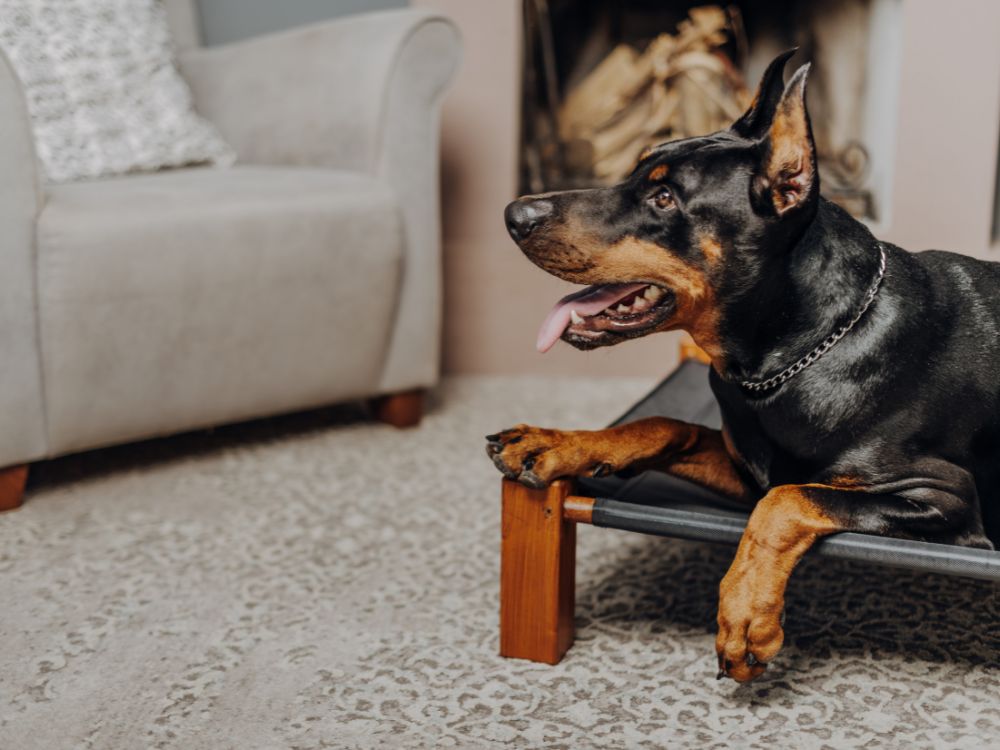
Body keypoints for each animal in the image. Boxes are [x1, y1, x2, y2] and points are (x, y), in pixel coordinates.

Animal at [486, 53, 1000, 684]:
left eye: (664, 199)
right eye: (635, 173)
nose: (514, 212)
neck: (796, 354)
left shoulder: (945, 498)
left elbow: (788, 501)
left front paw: (746, 615)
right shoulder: (749, 466)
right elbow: (666, 426)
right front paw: (554, 442)